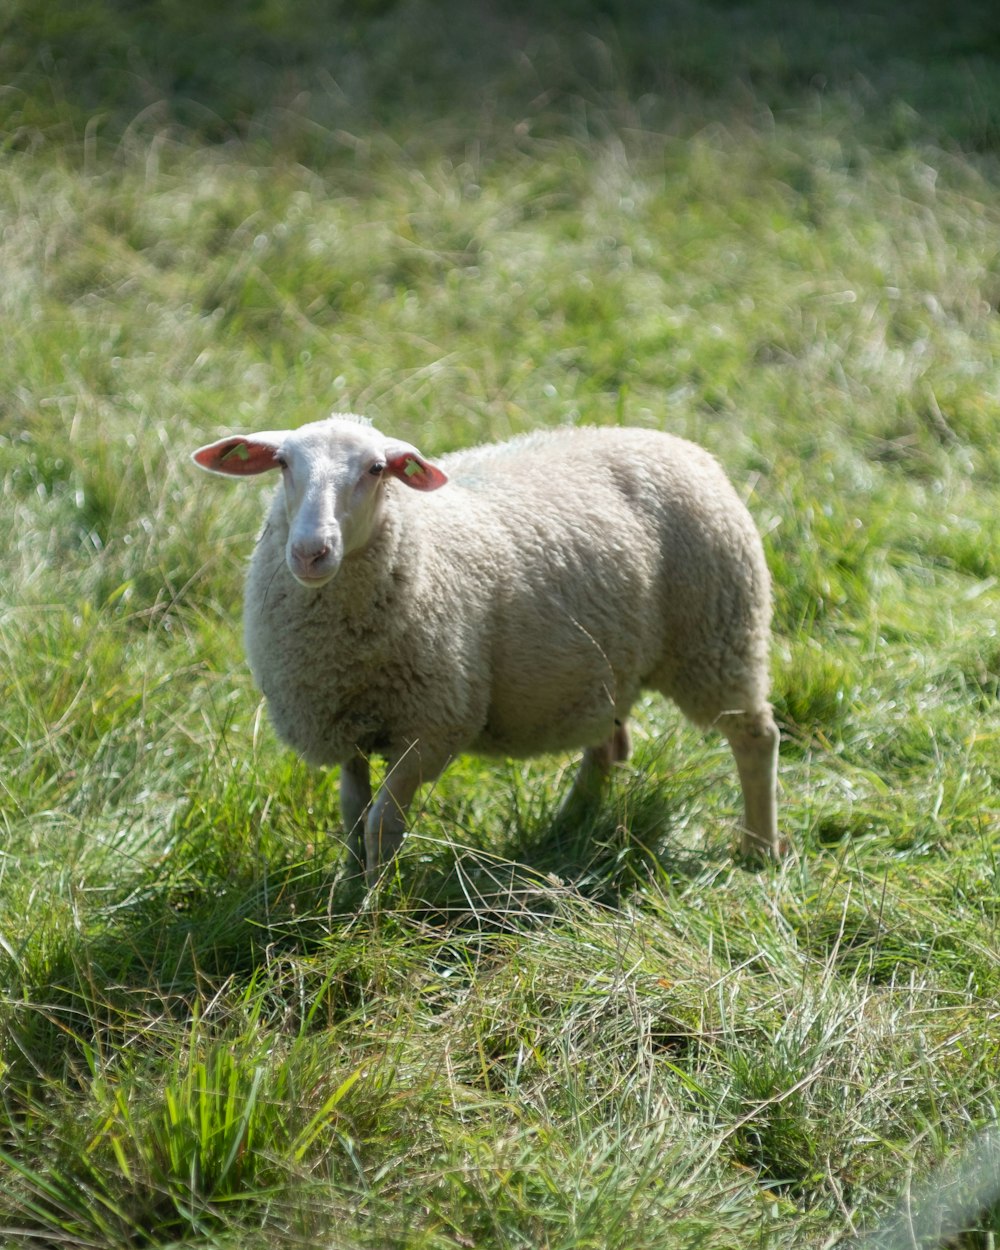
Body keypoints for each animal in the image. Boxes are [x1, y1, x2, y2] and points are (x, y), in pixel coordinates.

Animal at [191, 415, 775, 885]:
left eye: (376, 469)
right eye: (283, 463)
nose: (311, 551)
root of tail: (681, 444)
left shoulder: (431, 726)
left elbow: (382, 825)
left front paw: (375, 911)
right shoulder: (342, 722)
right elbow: (354, 815)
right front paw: (348, 892)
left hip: (716, 639)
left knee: (755, 737)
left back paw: (759, 849)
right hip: (608, 668)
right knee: (608, 746)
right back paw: (567, 829)